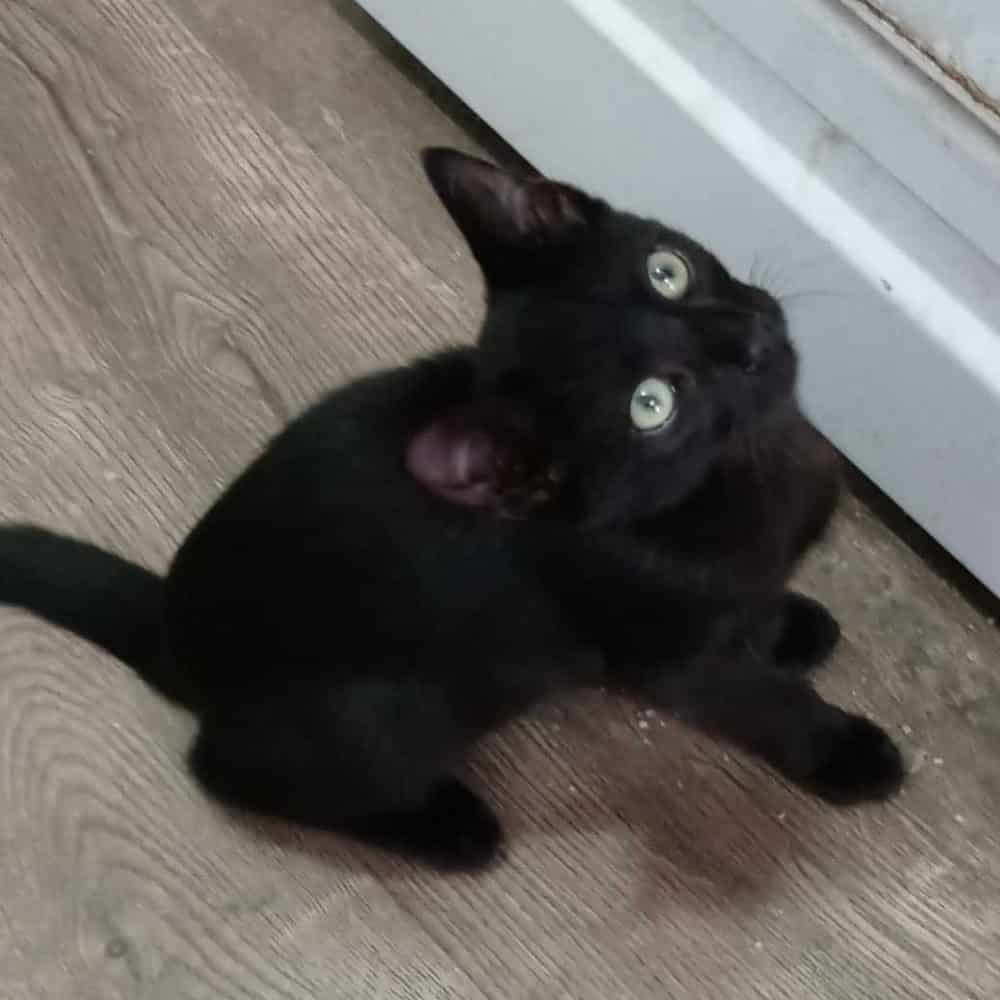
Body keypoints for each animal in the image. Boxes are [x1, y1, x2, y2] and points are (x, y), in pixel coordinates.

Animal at [0, 148, 903, 870]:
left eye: (667, 269)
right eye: (652, 406)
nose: (750, 340)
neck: (740, 471)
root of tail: (174, 635)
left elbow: (754, 608)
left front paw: (792, 625)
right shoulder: (672, 661)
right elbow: (761, 701)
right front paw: (844, 751)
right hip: (382, 720)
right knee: (226, 770)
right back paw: (444, 826)